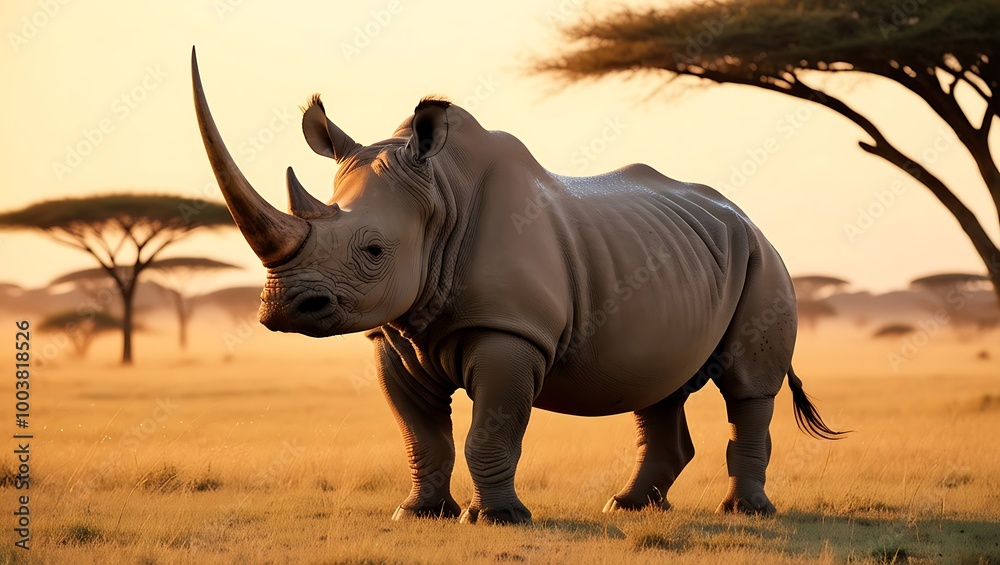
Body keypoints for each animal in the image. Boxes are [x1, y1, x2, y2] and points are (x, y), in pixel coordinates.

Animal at [191, 49, 842, 524]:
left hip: (763, 261)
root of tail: (746, 218)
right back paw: (628, 507)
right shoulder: (393, 334)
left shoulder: (511, 332)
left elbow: (492, 431)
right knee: (657, 384)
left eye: (374, 251)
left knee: (747, 388)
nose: (281, 307)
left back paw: (745, 514)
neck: (441, 199)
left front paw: (497, 520)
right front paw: (419, 514)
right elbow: (421, 435)